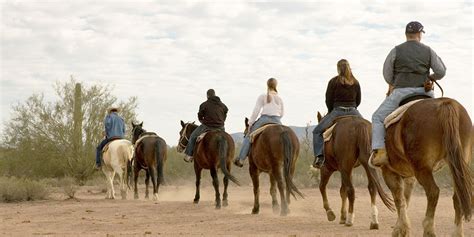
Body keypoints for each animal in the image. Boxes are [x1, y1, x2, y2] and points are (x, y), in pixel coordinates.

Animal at [372, 96, 472, 237]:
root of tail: (445, 104)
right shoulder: (409, 176)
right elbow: (405, 198)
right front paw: (402, 229)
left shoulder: (389, 172)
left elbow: (399, 199)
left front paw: (400, 229)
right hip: (456, 166)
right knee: (458, 196)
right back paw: (456, 233)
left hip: (422, 169)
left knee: (433, 192)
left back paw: (429, 230)